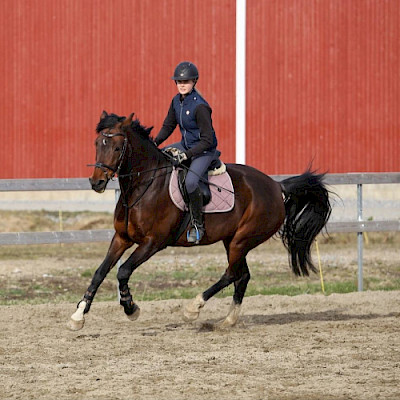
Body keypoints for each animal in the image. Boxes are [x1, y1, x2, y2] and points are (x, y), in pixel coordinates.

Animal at [68, 111, 332, 330]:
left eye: (116, 147)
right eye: (97, 143)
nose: (96, 182)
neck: (143, 186)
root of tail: (277, 187)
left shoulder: (153, 243)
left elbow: (123, 271)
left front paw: (130, 307)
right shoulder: (122, 238)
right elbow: (100, 272)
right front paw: (78, 316)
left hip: (242, 240)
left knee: (232, 274)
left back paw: (193, 308)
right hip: (231, 240)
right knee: (242, 275)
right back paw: (228, 321)